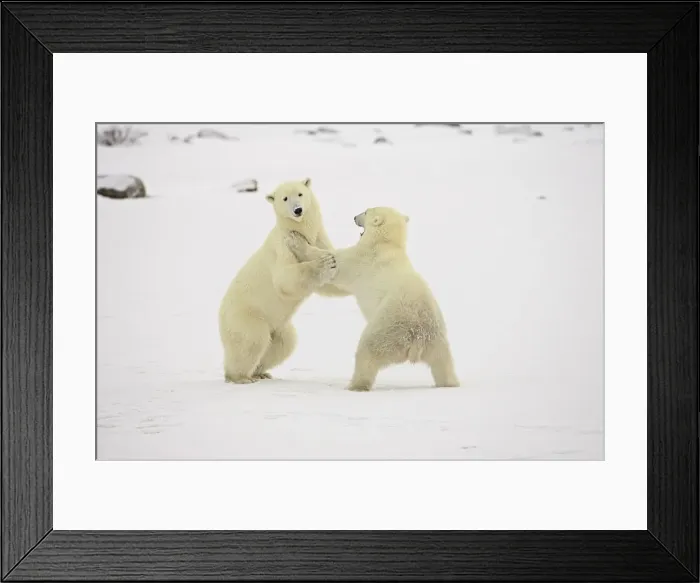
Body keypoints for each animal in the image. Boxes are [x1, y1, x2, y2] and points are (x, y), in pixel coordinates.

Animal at [218, 178, 347, 384]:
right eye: (285, 198)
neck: (300, 230)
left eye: (300, 194)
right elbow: (284, 279)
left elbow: (330, 285)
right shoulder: (282, 246)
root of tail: (220, 316)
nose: (298, 210)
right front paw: (324, 263)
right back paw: (240, 377)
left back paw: (260, 372)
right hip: (246, 315)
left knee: (284, 343)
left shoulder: (319, 238)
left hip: (278, 326)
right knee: (253, 339)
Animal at [286, 206, 460, 392]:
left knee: (367, 351)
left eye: (366, 211)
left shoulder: (362, 258)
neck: (386, 243)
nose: (354, 217)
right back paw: (450, 383)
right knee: (443, 364)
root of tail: (417, 338)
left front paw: (295, 238)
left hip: (388, 327)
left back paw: (355, 385)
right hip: (437, 341)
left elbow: (336, 263)